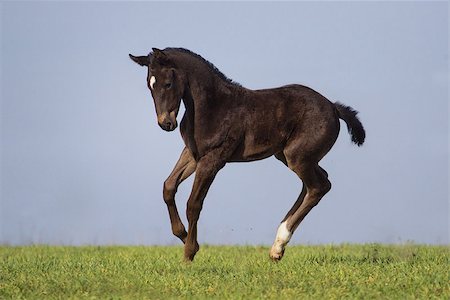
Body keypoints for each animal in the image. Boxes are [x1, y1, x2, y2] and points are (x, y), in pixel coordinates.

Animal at [128, 47, 364, 260]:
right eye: (150, 85)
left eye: (167, 83)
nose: (166, 123)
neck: (212, 105)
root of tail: (333, 107)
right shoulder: (193, 154)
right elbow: (168, 187)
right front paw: (183, 235)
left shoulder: (213, 159)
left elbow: (194, 204)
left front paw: (189, 252)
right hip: (289, 156)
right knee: (316, 183)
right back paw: (277, 246)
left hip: (297, 157)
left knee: (318, 187)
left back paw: (279, 245)